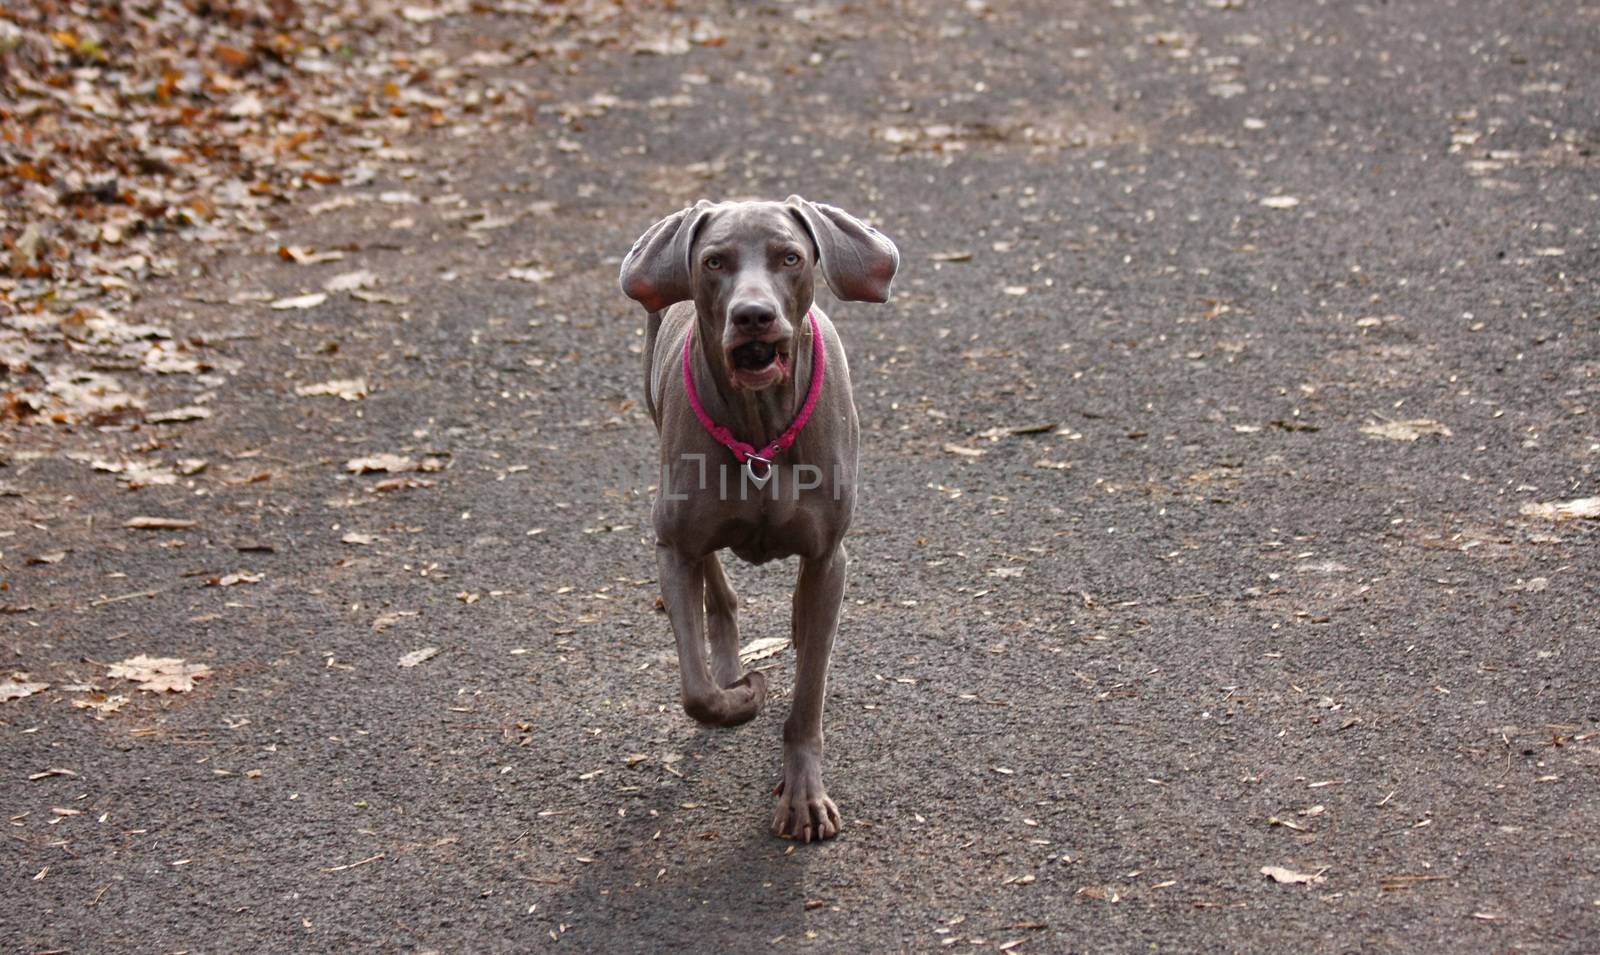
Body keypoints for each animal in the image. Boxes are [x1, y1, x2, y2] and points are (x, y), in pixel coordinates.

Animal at [617, 197, 902, 838]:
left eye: (790, 257)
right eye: (714, 261)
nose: (752, 316)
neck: (760, 428)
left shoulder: (828, 557)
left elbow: (810, 691)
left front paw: (803, 798)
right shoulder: (673, 545)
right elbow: (697, 690)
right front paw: (744, 694)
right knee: (717, 592)